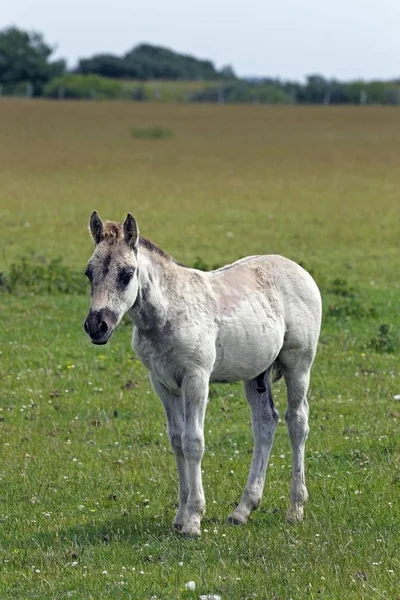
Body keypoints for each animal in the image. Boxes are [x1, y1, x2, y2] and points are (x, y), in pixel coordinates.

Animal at [84, 212, 322, 540]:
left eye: (126, 274)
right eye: (88, 273)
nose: (97, 326)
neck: (167, 312)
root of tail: (299, 270)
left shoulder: (196, 378)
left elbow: (193, 442)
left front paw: (194, 520)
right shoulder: (162, 383)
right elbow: (176, 441)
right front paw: (180, 515)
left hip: (298, 365)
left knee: (297, 422)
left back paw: (295, 509)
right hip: (255, 374)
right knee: (265, 423)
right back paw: (242, 510)